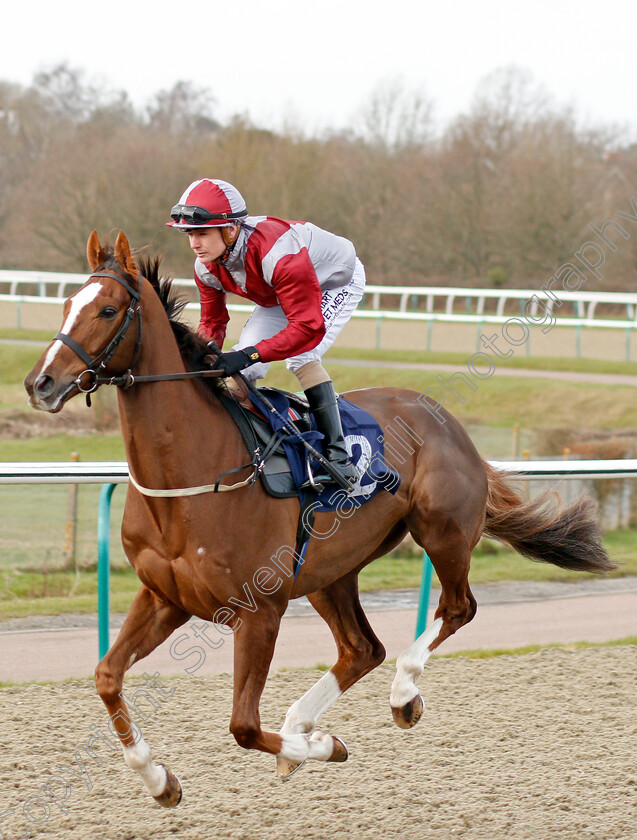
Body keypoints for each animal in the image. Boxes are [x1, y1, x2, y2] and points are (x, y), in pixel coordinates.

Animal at [23, 231, 612, 808]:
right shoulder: (165, 597)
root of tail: (447, 421)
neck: (190, 478)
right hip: (330, 571)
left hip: (441, 531)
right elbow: (106, 676)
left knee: (456, 608)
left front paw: (325, 746)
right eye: (66, 304)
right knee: (362, 648)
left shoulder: (259, 611)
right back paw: (302, 724)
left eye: (107, 309)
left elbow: (242, 725)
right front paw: (159, 779)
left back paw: (399, 694)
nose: (40, 383)